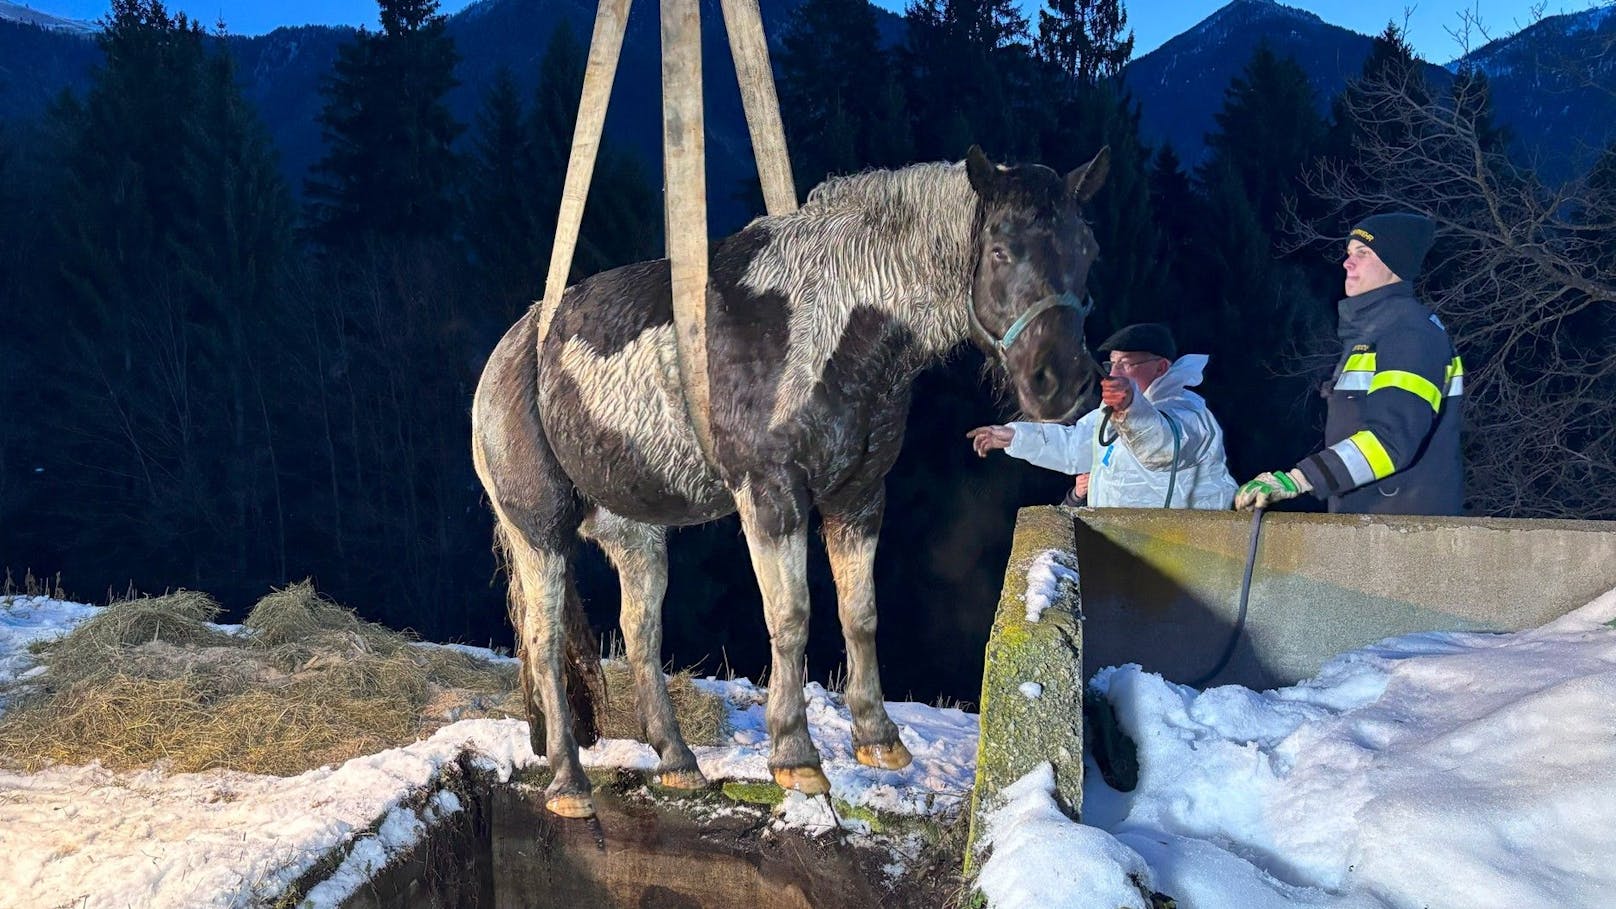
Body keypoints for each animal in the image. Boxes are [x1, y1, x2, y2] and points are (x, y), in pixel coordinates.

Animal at [471, 143, 1111, 815]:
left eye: (1088, 251)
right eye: (1000, 250)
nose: (1062, 383)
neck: (830, 321)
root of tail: (513, 348)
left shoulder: (859, 499)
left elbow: (861, 613)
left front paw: (878, 739)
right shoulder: (772, 496)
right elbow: (791, 617)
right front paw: (795, 756)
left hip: (636, 535)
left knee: (639, 633)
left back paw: (676, 760)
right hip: (539, 534)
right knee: (544, 642)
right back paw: (569, 780)